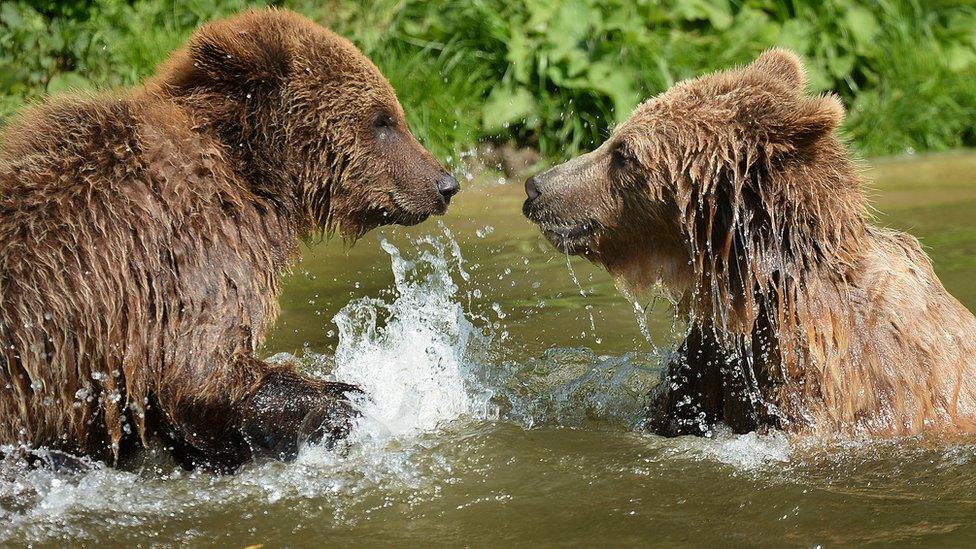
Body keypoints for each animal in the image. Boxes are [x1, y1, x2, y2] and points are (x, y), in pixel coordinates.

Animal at [0, 7, 460, 470]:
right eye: (383, 120)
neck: (252, 170)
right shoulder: (190, 247)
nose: (445, 184)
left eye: (393, 114)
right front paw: (345, 398)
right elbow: (201, 374)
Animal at [528, 49, 976, 438]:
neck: (758, 288)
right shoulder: (707, 359)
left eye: (624, 154)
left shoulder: (828, 384)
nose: (536, 186)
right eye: (614, 139)